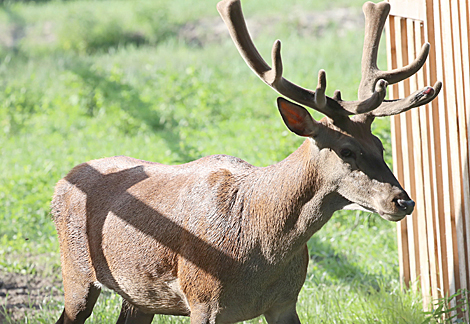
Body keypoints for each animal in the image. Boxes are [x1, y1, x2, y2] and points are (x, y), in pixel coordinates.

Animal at [51, 0, 440, 324]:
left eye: (381, 146)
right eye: (346, 150)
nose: (403, 201)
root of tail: (62, 180)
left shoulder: (285, 302)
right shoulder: (203, 301)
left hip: (139, 297)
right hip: (76, 272)